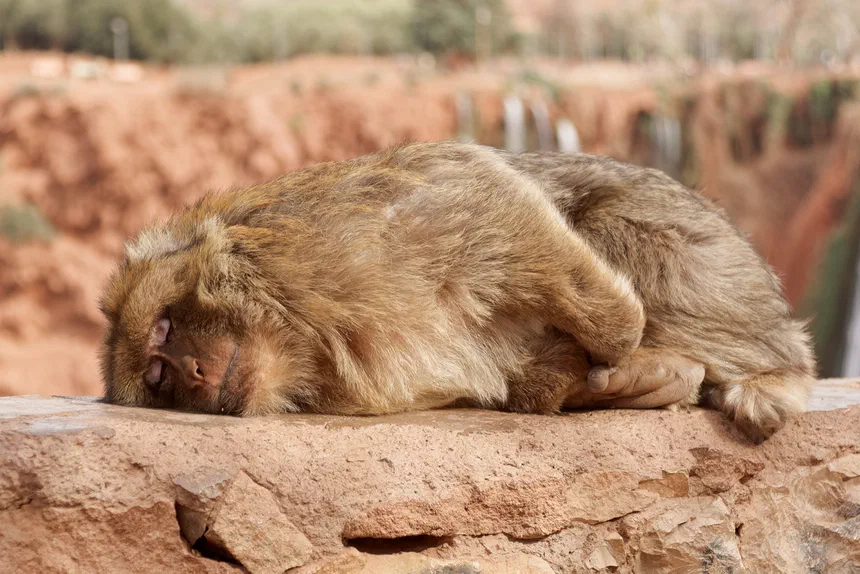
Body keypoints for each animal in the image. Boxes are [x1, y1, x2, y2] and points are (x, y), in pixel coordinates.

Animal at [100, 141, 815, 440]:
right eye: (158, 377)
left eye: (164, 325)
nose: (192, 371)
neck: (297, 330)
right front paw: (581, 381)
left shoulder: (333, 242)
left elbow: (485, 191)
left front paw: (620, 347)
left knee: (612, 223)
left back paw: (768, 374)